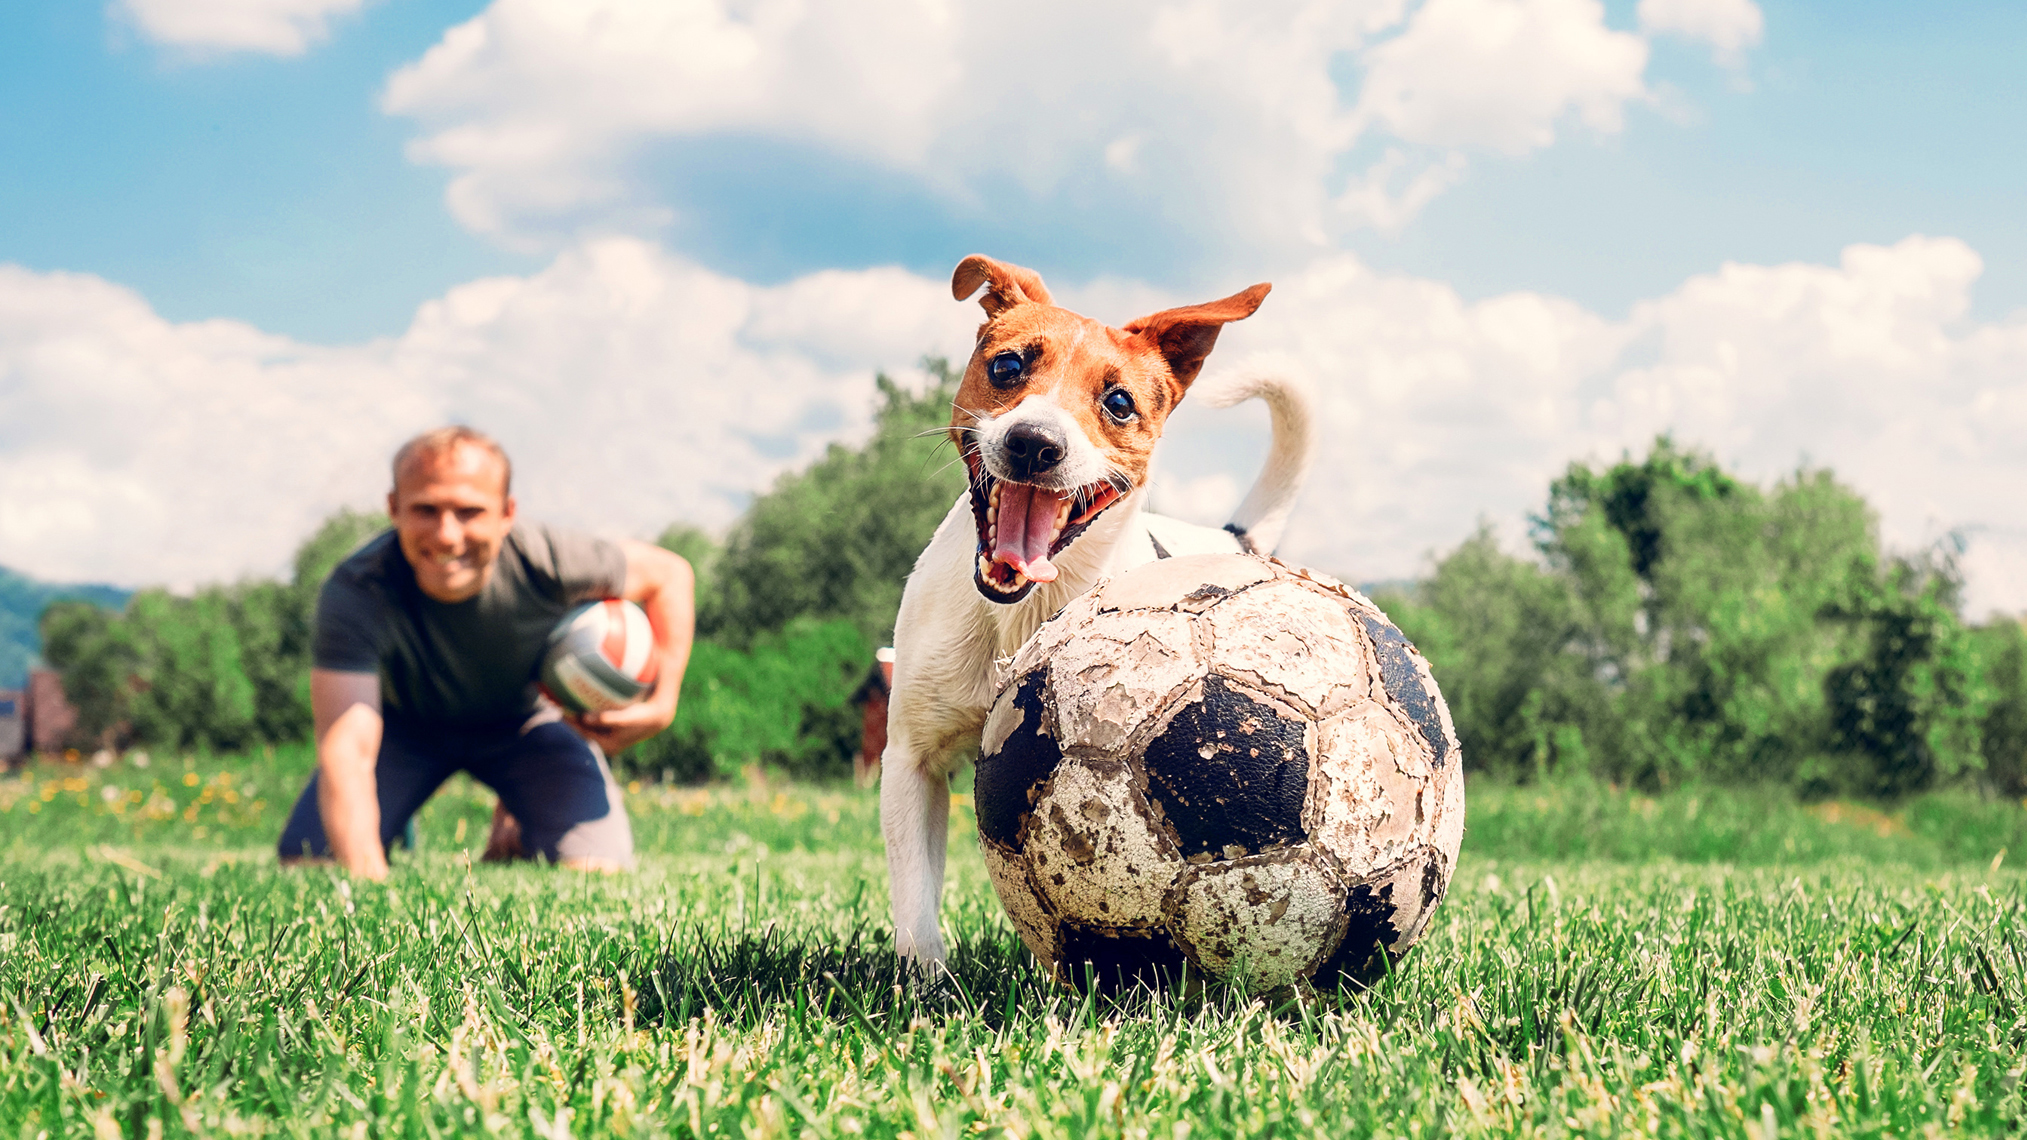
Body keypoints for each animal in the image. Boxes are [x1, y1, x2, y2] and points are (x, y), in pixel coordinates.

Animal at [875, 252, 1313, 961]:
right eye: (1007, 366)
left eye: (1118, 402)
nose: (1033, 442)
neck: (1022, 613)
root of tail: (1230, 540)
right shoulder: (911, 758)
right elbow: (915, 900)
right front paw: (925, 980)